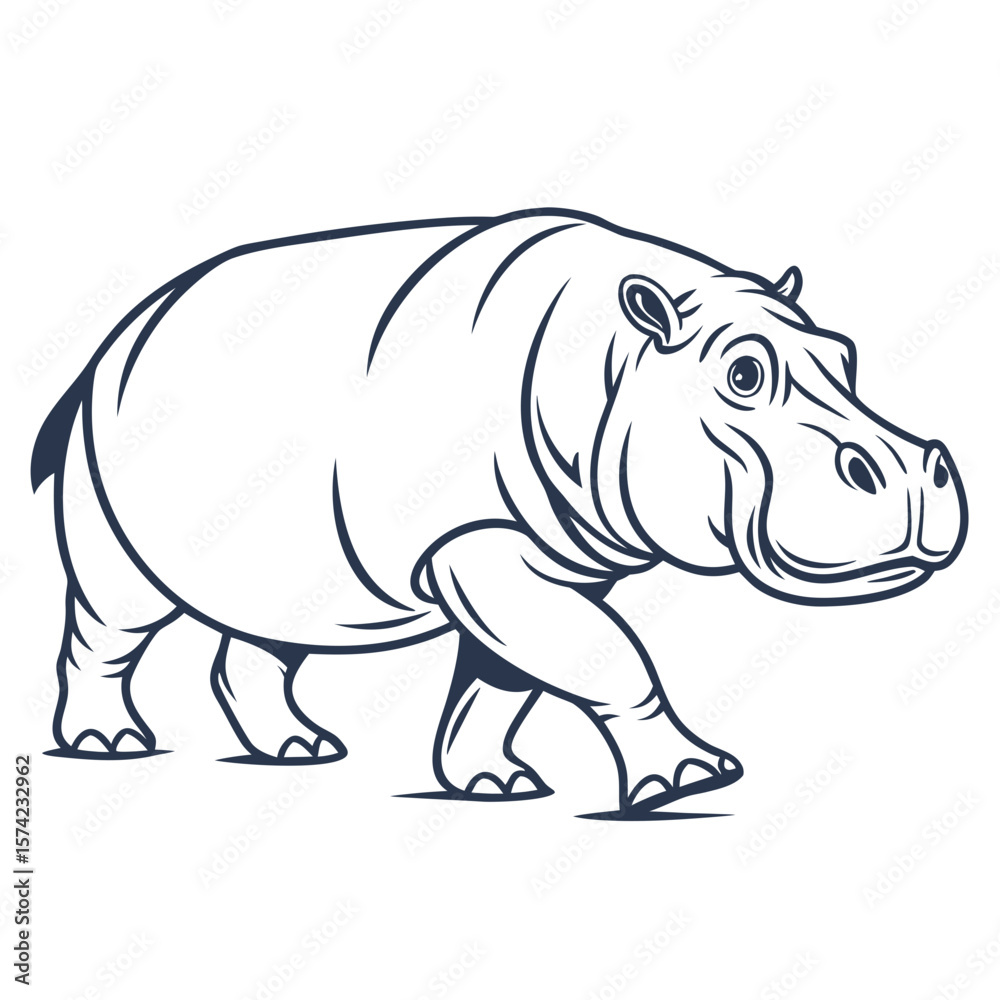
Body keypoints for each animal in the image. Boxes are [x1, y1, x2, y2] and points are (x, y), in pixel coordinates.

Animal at [32, 208, 968, 815]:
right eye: (744, 374)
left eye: (845, 356)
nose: (912, 471)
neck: (617, 358)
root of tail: (108, 341)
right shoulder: (476, 545)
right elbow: (608, 656)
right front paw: (694, 781)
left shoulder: (541, 556)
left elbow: (508, 678)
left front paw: (497, 787)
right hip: (102, 487)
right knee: (114, 619)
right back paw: (109, 744)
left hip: (276, 547)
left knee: (271, 631)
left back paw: (303, 750)